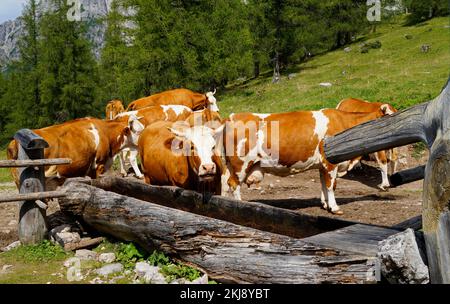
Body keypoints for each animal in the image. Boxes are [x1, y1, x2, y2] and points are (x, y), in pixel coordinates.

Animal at [222, 108, 390, 215]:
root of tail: (231, 117)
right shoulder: (330, 162)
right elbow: (331, 186)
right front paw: (334, 207)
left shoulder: (322, 165)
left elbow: (324, 184)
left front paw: (325, 204)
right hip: (241, 164)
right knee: (234, 184)